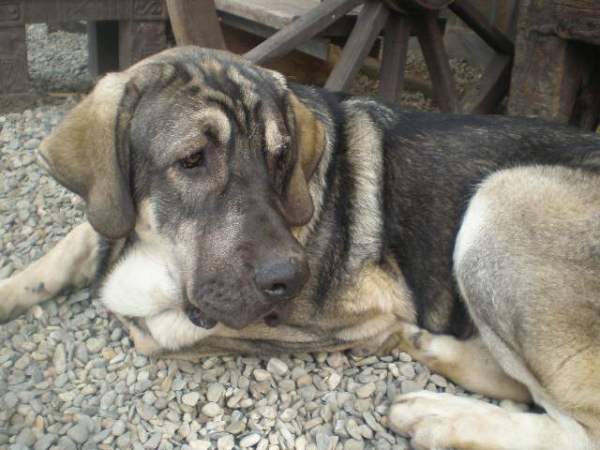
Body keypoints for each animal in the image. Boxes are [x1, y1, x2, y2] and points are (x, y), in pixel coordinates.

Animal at [1, 47, 600, 448]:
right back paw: (438, 353)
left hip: (502, 201)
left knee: (576, 426)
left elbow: (157, 328)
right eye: (192, 160)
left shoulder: (348, 312)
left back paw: (441, 416)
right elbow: (71, 245)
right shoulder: (108, 216)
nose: (292, 276)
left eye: (280, 158)